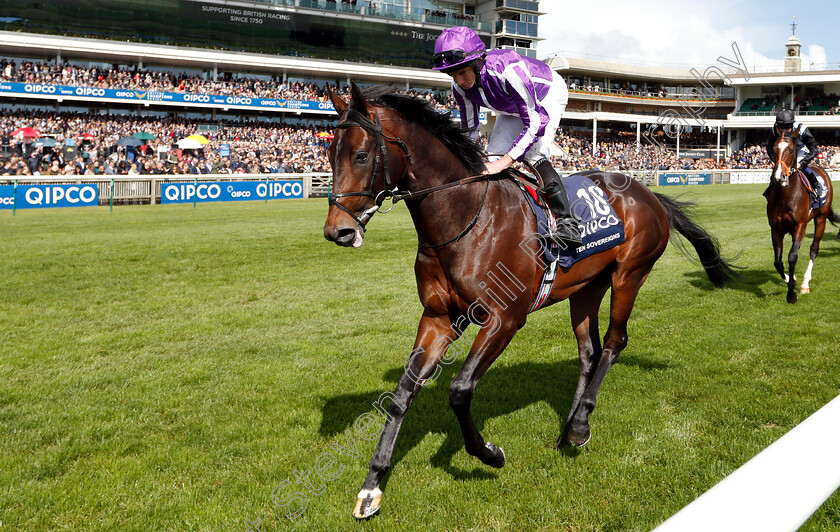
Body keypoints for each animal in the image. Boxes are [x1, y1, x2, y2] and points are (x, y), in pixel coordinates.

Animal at [322, 84, 736, 520]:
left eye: (361, 155)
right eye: (330, 154)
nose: (338, 231)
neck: (465, 218)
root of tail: (647, 193)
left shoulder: (504, 319)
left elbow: (460, 389)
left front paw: (489, 453)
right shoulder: (437, 317)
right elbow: (402, 394)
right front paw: (372, 486)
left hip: (630, 274)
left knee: (613, 342)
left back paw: (580, 423)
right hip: (586, 287)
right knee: (588, 352)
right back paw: (569, 430)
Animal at [768, 132, 840, 304]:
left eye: (790, 149)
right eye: (774, 148)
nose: (779, 177)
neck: (786, 197)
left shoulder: (800, 226)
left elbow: (792, 256)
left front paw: (791, 294)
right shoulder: (776, 229)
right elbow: (778, 262)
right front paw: (790, 278)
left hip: (820, 218)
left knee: (814, 249)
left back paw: (805, 283)